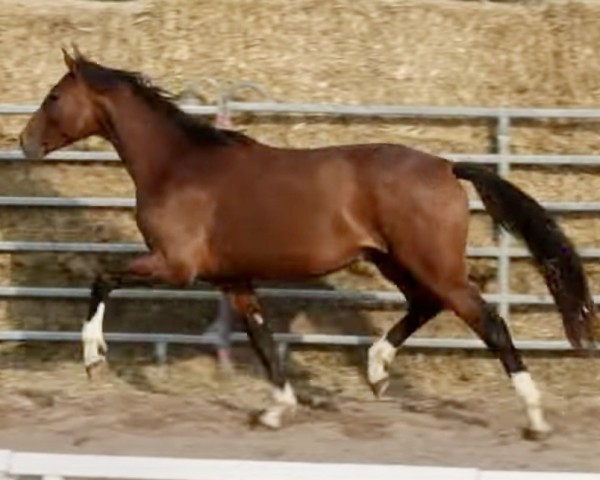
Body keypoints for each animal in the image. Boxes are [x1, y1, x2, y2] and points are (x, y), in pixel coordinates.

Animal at [18, 47, 596, 438]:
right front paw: (276, 410)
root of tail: (447, 166)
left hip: (432, 265)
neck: (178, 165)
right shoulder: (234, 281)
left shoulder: (175, 266)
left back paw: (535, 418)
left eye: (53, 97)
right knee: (425, 306)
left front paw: (93, 358)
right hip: (396, 262)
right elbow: (262, 340)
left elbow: (101, 280)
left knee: (490, 322)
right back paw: (377, 370)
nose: (23, 143)